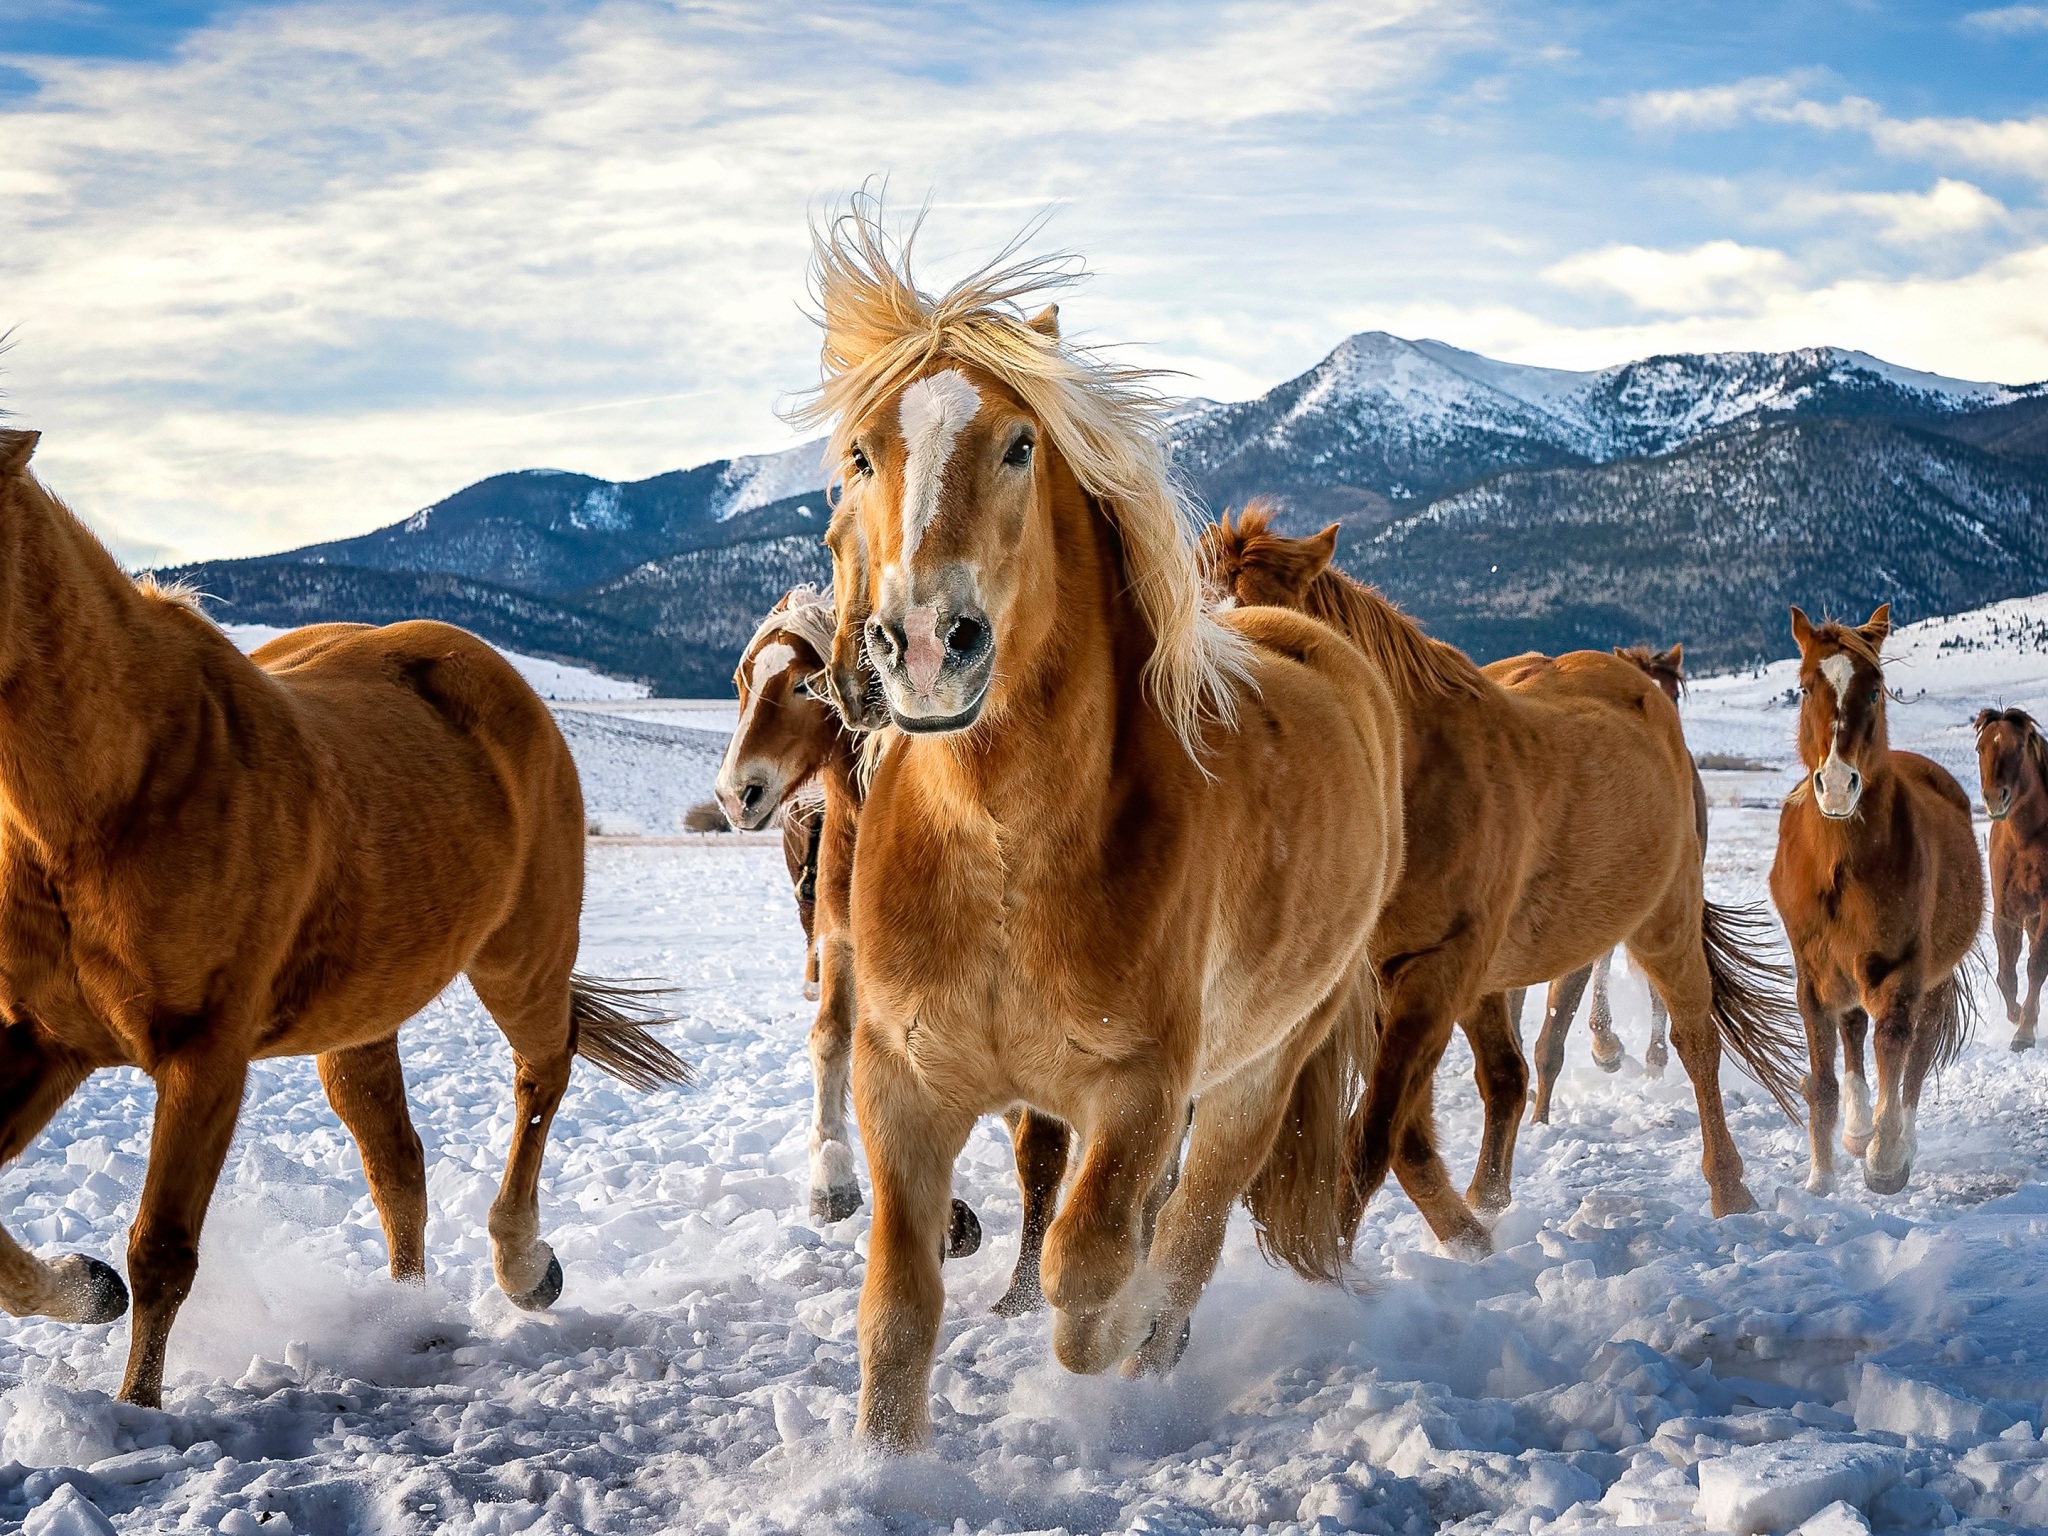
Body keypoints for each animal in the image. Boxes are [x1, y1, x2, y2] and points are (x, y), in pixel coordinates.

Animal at [0, 429, 689, 1406]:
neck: (114, 793)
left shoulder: (205, 1058)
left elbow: (163, 1251)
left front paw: (136, 1413)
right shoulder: (46, 1038)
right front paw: (85, 1287)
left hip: (520, 959)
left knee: (541, 1076)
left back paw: (524, 1268)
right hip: (361, 1021)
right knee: (398, 1165)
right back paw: (408, 1321)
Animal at [713, 586, 1066, 1311]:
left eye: (801, 685)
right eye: (741, 682)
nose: (737, 794)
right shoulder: (844, 946)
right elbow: (832, 1041)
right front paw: (834, 1180)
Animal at [794, 210, 1404, 1450]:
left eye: (1019, 444)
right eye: (860, 456)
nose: (922, 645)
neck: (1000, 855)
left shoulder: (1137, 1095)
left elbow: (1086, 1271)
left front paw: (1118, 1334)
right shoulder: (901, 1087)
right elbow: (898, 1313)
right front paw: (887, 1470)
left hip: (1257, 1071)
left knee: (1193, 1225)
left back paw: (1158, 1352)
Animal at [1771, 606, 1983, 1195]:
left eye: (1874, 690)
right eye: (1804, 687)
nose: (1838, 784)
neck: (1839, 867)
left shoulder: (1902, 969)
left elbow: (1895, 1045)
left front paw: (1885, 1161)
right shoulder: (1812, 975)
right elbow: (1824, 1079)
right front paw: (1821, 1178)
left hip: (1931, 977)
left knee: (1916, 1052)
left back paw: (1896, 1141)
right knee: (1853, 1034)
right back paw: (1855, 1131)